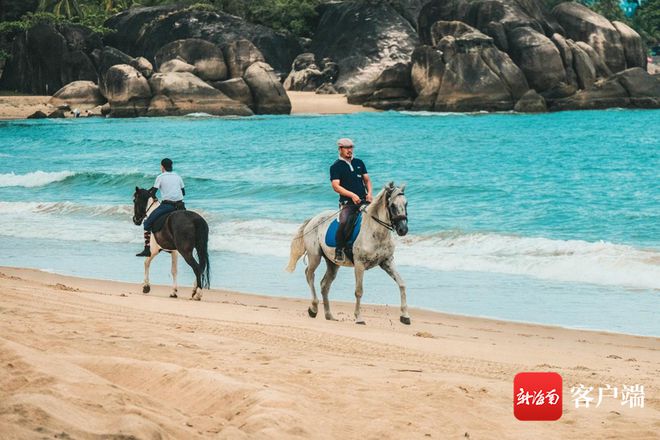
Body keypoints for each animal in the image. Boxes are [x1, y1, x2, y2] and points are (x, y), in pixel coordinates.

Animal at [286, 181, 410, 324]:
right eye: (392, 205)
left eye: (406, 204)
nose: (403, 230)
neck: (375, 231)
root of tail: (313, 219)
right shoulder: (359, 264)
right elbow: (359, 291)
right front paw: (359, 318)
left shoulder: (387, 261)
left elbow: (402, 284)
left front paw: (405, 316)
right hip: (315, 257)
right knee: (309, 275)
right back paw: (313, 308)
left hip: (333, 263)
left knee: (324, 285)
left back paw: (329, 315)